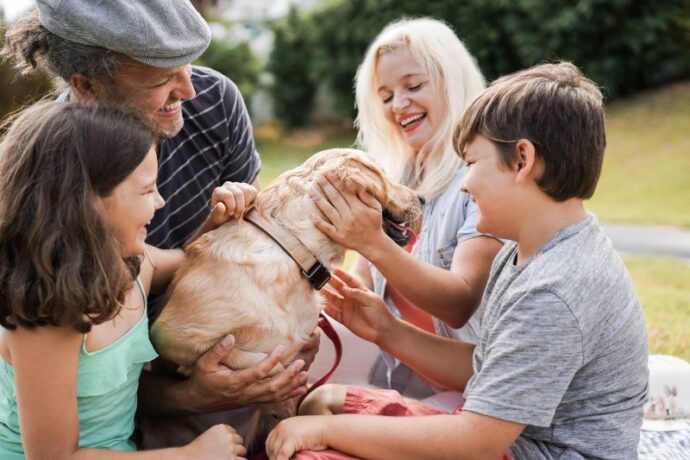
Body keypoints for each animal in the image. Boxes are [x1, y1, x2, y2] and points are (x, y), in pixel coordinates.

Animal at [148, 150, 422, 446]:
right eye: (383, 175)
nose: (423, 198)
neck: (292, 252)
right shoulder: (168, 335)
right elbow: (259, 361)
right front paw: (280, 391)